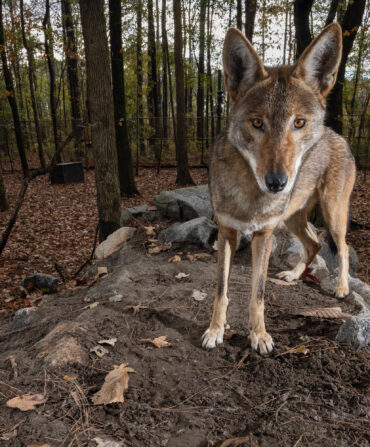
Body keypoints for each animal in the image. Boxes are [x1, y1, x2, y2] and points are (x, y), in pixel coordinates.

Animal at [202, 24, 356, 356]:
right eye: (257, 123)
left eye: (298, 122)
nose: (277, 183)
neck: (251, 194)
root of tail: (338, 135)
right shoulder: (226, 233)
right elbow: (221, 291)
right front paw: (215, 331)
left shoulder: (264, 235)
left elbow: (257, 295)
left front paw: (259, 336)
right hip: (293, 218)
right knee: (314, 244)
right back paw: (293, 276)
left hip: (332, 214)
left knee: (342, 246)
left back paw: (341, 287)